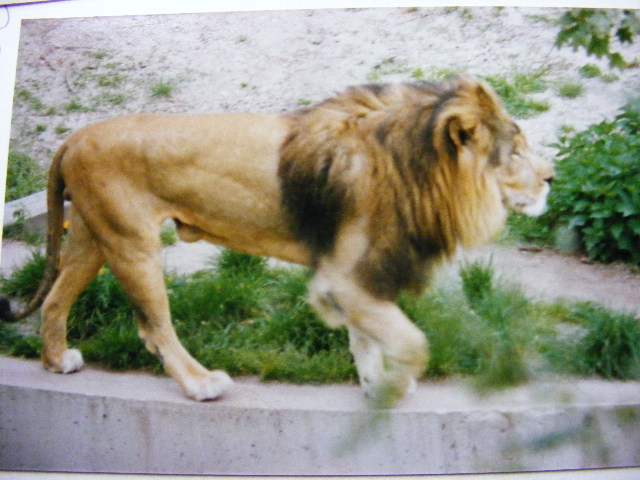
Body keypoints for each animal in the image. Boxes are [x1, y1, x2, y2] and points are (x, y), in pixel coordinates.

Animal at [9, 76, 553, 404]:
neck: (411, 164)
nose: (552, 178)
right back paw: (201, 383)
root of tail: (74, 137)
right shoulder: (346, 277)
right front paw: (395, 386)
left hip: (91, 237)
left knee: (55, 300)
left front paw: (376, 385)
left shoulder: (356, 279)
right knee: (154, 327)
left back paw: (57, 361)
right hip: (131, 242)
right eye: (516, 151)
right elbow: (411, 342)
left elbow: (366, 339)